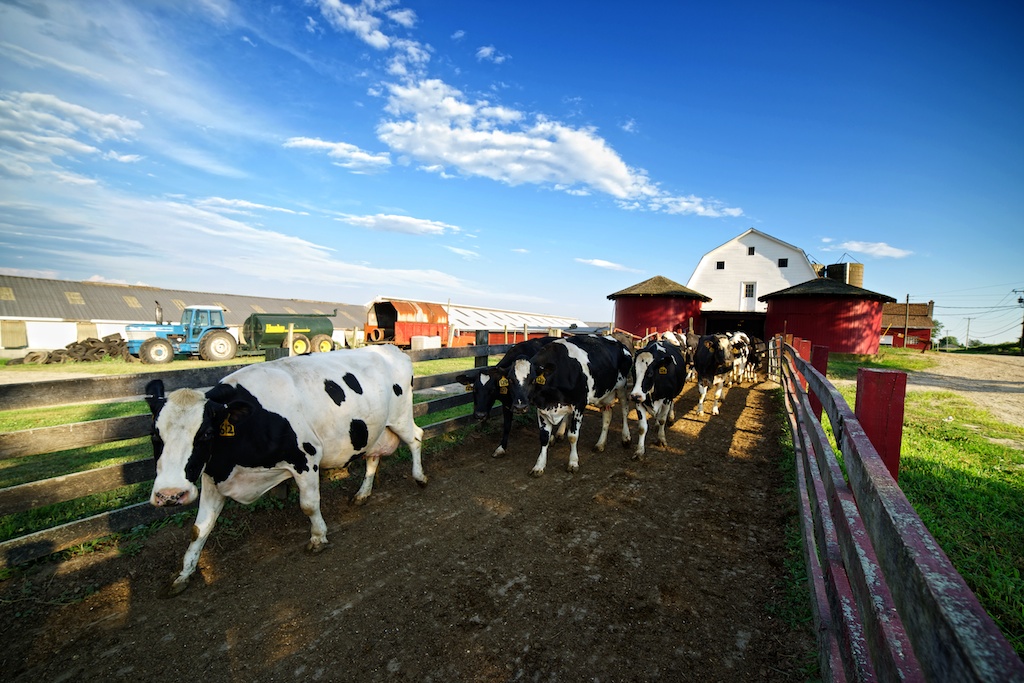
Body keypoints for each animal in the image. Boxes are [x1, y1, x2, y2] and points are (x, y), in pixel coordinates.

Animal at [144, 344, 423, 593]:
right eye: (154, 435)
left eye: (206, 434)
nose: (170, 494)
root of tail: (391, 349)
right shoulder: (214, 478)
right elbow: (198, 529)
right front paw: (184, 574)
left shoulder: (306, 458)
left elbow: (308, 505)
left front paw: (318, 538)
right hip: (373, 432)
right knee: (373, 457)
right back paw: (363, 494)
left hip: (400, 419)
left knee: (416, 438)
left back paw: (420, 477)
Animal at [505, 335, 630, 475]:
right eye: (510, 379)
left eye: (533, 380)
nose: (520, 407)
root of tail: (619, 342)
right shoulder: (542, 408)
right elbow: (544, 437)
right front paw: (539, 466)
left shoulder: (579, 405)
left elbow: (573, 436)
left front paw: (573, 463)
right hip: (604, 393)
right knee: (607, 416)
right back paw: (600, 444)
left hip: (622, 387)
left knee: (625, 410)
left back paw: (626, 438)